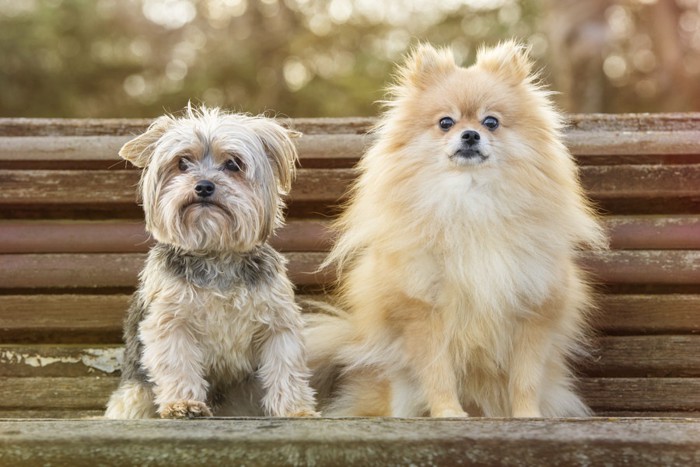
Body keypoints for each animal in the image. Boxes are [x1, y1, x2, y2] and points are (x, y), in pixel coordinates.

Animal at [104, 106, 318, 420]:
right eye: (182, 163)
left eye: (233, 164)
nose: (204, 186)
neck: (216, 252)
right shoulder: (171, 322)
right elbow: (177, 362)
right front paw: (182, 404)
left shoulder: (277, 323)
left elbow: (285, 367)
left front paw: (295, 410)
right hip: (134, 397)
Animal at [306, 42, 608, 418]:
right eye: (445, 123)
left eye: (491, 122)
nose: (470, 134)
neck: (471, 201)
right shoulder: (423, 309)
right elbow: (437, 371)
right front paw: (448, 412)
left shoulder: (533, 309)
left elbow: (526, 376)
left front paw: (527, 416)